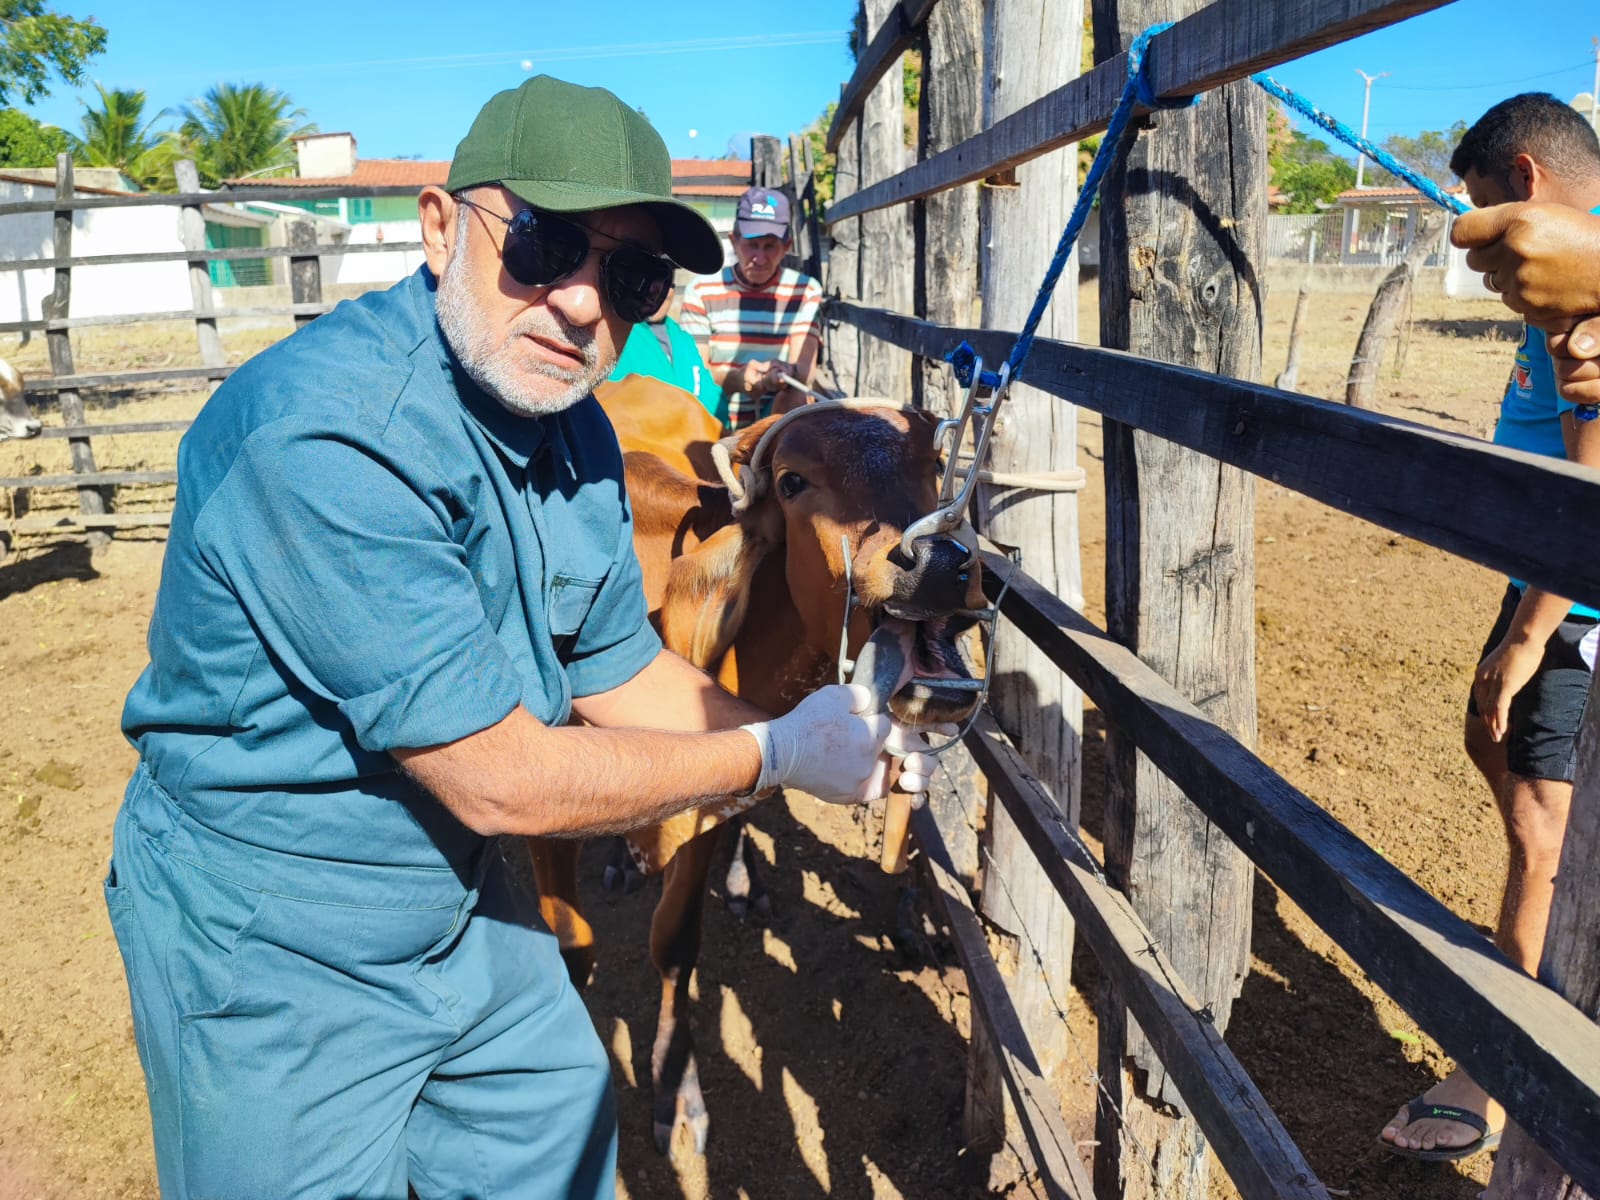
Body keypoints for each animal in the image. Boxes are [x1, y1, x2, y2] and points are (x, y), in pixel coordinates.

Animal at [524, 376, 979, 1158]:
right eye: (794, 482)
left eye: (933, 464)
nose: (940, 561)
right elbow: (572, 948)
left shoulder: (709, 802)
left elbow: (675, 942)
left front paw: (676, 1089)